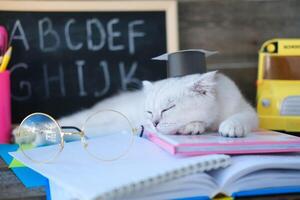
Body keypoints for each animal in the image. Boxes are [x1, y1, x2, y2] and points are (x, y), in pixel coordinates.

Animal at [13, 70, 258, 145]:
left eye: (168, 108)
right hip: (93, 119)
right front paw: (194, 126)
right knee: (64, 122)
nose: (154, 122)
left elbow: (243, 117)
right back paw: (25, 133)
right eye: (150, 112)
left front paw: (230, 127)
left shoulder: (247, 110)